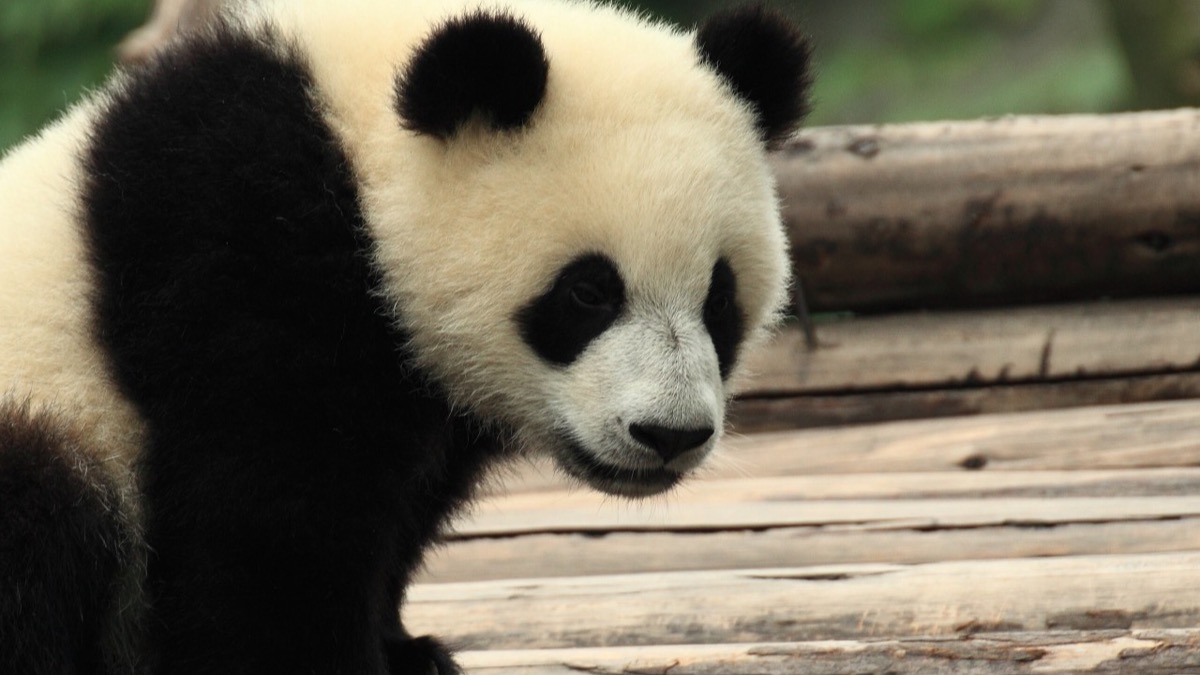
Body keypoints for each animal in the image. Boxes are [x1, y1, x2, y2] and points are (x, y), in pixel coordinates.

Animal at [0, 0, 810, 673]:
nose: (669, 434)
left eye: (720, 298)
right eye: (588, 292)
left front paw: (409, 651)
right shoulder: (229, 252)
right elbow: (262, 526)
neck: (355, 152)